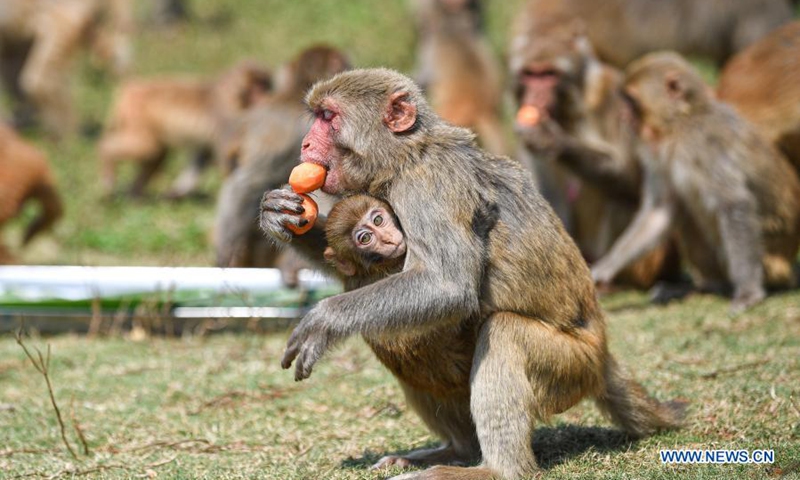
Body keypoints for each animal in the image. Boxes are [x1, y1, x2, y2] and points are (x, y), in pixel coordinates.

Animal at [98, 61, 272, 199]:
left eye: (265, 86)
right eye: (257, 88)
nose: (266, 98)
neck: (233, 95)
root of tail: (128, 89)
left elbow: (200, 159)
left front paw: (177, 192)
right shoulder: (227, 117)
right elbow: (227, 160)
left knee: (157, 154)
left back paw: (135, 195)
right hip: (136, 117)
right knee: (148, 147)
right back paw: (107, 161)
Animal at [259, 68, 685, 479]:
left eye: (328, 118)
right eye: (317, 117)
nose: (305, 146)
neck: (405, 156)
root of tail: (602, 351)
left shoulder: (427, 187)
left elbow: (448, 287)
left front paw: (324, 320)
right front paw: (277, 213)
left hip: (572, 366)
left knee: (501, 331)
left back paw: (497, 469)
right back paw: (457, 451)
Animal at [511, 19, 682, 290]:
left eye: (549, 74)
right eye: (530, 74)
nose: (535, 97)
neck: (568, 108)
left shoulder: (613, 104)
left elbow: (633, 179)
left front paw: (553, 139)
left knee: (619, 199)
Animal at [592, 52, 800, 312]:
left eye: (630, 100)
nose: (623, 116)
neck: (681, 122)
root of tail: (788, 263)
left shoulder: (702, 143)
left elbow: (734, 204)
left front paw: (748, 292)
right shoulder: (659, 153)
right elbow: (660, 212)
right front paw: (605, 268)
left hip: (771, 259)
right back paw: (706, 287)